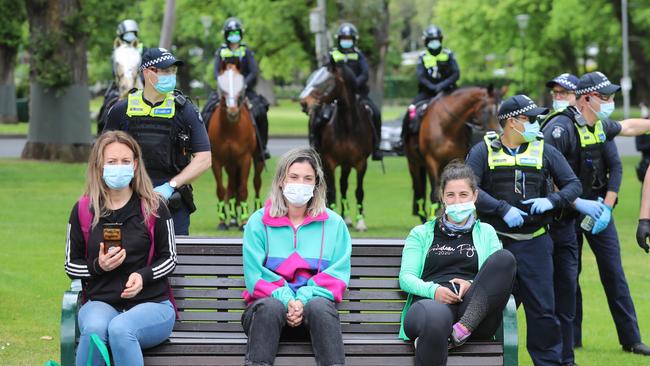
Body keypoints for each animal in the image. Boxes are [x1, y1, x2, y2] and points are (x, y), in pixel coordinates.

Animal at [205, 61, 260, 230]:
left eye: (240, 86)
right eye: (221, 86)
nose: (233, 111)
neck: (230, 129)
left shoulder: (245, 159)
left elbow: (242, 189)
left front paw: (244, 221)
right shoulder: (216, 161)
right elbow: (221, 190)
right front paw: (223, 221)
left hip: (256, 161)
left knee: (256, 183)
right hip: (230, 165)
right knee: (231, 186)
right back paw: (233, 219)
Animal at [298, 61, 372, 230]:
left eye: (326, 80)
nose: (304, 102)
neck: (348, 127)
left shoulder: (361, 164)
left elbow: (359, 191)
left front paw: (361, 223)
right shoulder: (329, 162)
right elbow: (331, 191)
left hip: (346, 165)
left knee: (344, 186)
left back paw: (348, 219)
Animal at [404, 86, 502, 223]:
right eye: (488, 110)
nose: (499, 133)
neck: (446, 126)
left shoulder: (458, 160)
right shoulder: (432, 162)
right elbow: (434, 193)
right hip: (414, 165)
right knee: (419, 191)